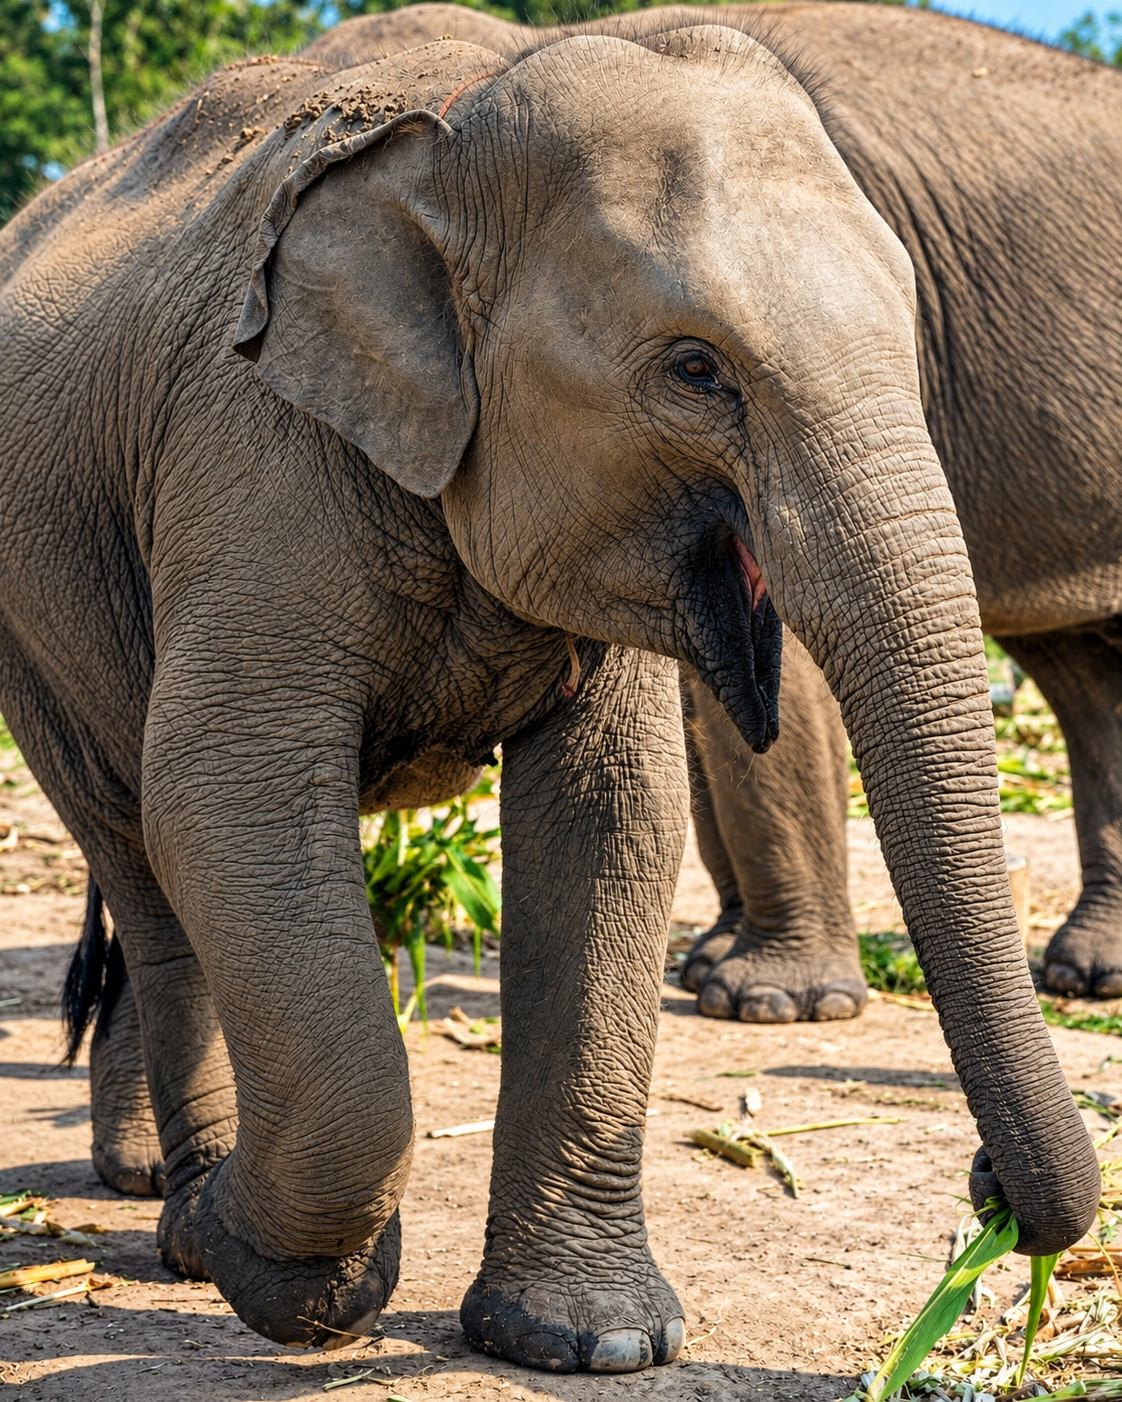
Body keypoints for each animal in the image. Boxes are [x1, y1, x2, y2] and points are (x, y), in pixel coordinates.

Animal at [1, 13, 1099, 1372]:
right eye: (697, 369)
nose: (986, 1188)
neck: (460, 126)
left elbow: (611, 816)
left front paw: (590, 1342)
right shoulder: (251, 446)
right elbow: (226, 793)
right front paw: (294, 1277)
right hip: (35, 621)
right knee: (139, 847)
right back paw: (187, 1212)